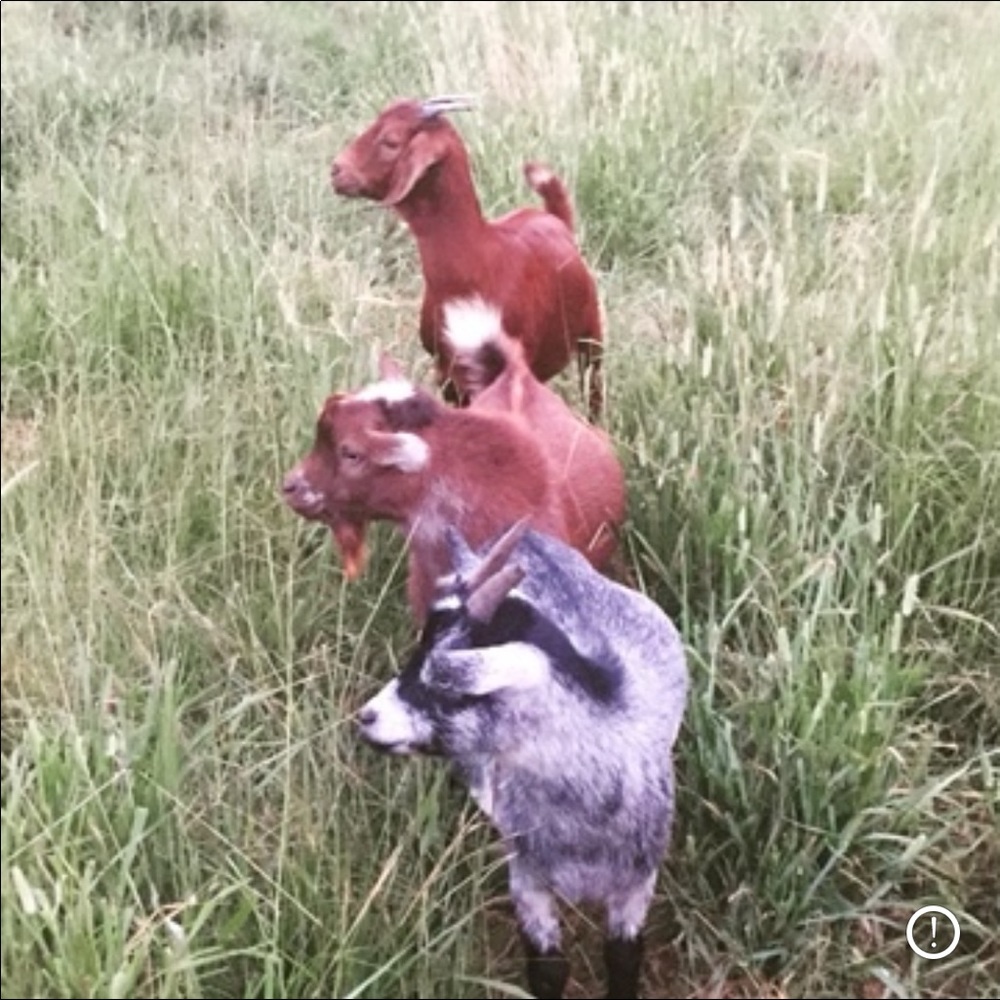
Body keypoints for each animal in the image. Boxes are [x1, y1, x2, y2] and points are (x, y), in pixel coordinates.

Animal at [330, 95, 604, 418]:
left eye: (391, 141)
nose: (336, 170)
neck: (479, 260)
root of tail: (556, 220)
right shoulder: (447, 374)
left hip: (591, 333)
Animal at [356, 520, 689, 999]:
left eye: (451, 687)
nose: (367, 717)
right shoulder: (528, 879)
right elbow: (548, 969)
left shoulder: (637, 883)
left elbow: (624, 958)